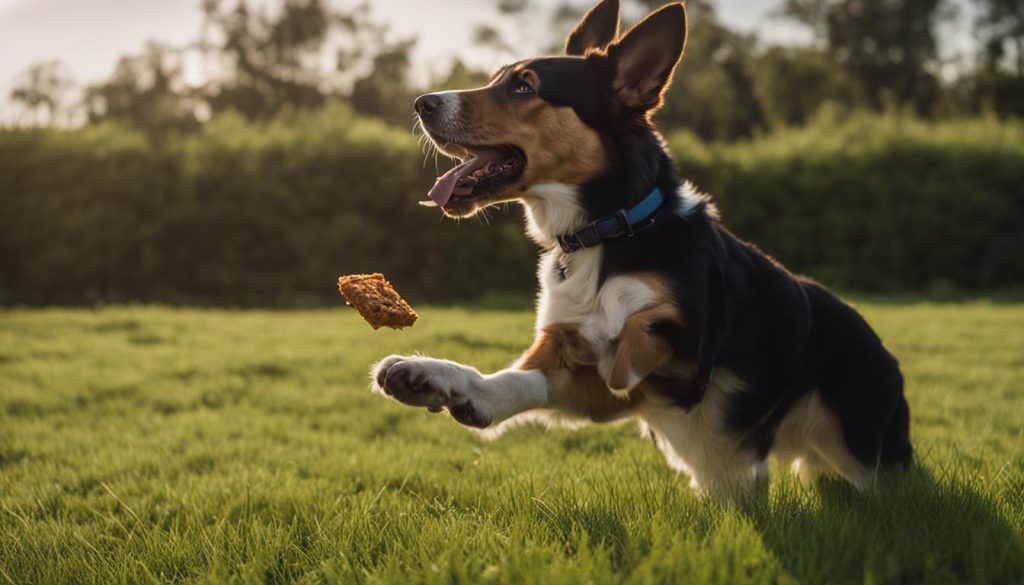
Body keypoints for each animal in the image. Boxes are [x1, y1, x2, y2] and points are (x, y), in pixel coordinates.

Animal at [370, 0, 913, 495]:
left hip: (854, 444)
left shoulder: (688, 358)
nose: (422, 103)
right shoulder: (587, 384)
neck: (606, 233)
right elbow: (512, 382)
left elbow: (647, 328)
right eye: (495, 79)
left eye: (524, 86)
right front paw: (427, 376)